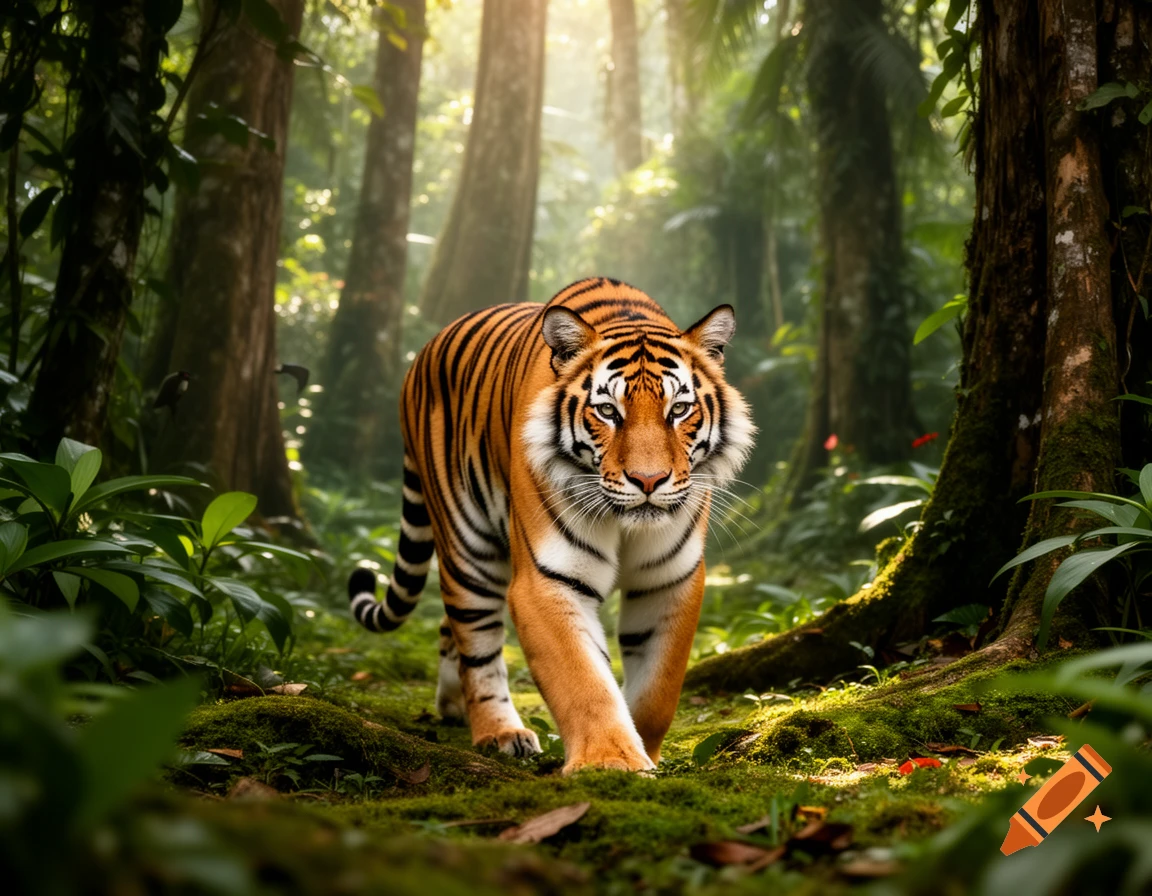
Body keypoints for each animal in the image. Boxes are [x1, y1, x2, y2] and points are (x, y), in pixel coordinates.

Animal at [347, 278, 754, 773]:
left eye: (678, 410)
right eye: (608, 412)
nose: (648, 480)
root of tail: (422, 354)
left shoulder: (669, 581)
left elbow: (658, 690)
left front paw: (644, 751)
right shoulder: (547, 580)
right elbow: (584, 681)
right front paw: (609, 761)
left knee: (451, 631)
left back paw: (452, 705)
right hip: (467, 545)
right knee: (476, 642)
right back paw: (499, 732)